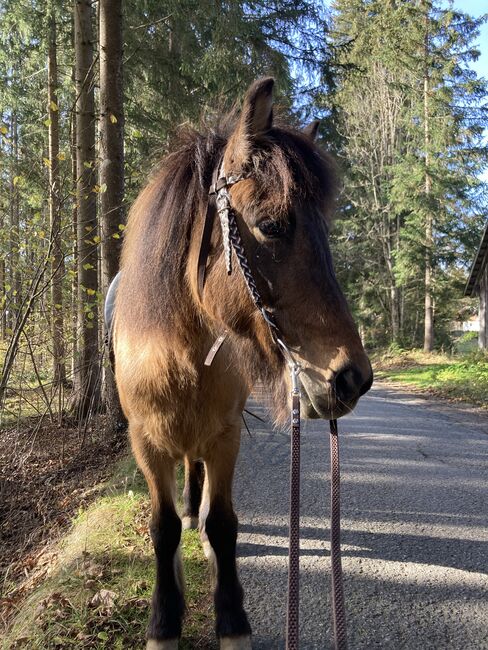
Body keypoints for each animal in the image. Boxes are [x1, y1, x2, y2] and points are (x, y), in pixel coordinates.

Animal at [112, 77, 372, 648]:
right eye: (272, 225)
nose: (353, 379)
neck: (178, 354)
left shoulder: (224, 436)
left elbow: (224, 523)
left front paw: (231, 618)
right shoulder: (145, 441)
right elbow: (162, 528)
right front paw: (164, 620)